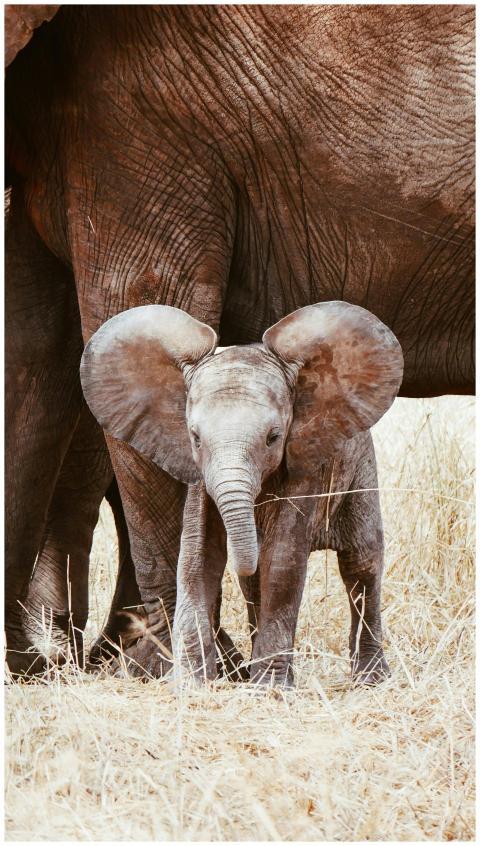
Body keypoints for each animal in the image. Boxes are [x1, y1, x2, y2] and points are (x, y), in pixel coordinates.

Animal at [80, 302, 404, 687]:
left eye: (273, 438)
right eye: (195, 438)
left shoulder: (305, 466)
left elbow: (282, 560)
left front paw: (271, 688)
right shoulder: (201, 480)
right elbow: (196, 558)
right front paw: (193, 685)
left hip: (360, 469)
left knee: (362, 563)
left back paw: (371, 679)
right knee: (254, 588)